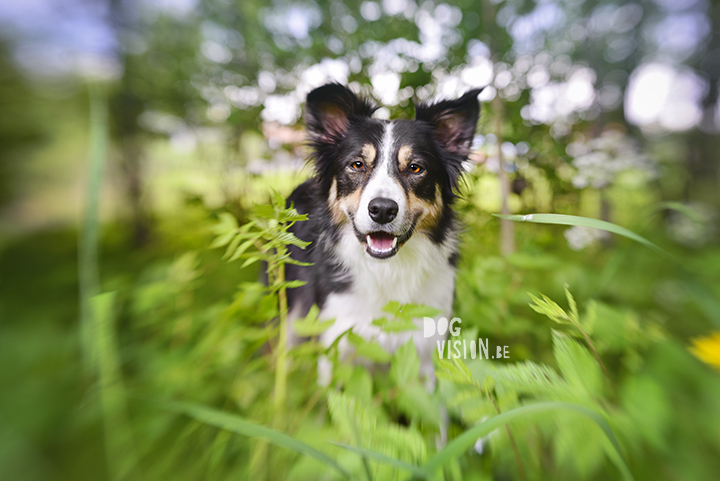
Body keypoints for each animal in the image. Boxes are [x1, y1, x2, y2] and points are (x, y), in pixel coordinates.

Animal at [284, 82, 480, 386]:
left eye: (415, 168)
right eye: (357, 164)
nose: (383, 210)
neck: (388, 270)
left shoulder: (425, 351)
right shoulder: (335, 344)